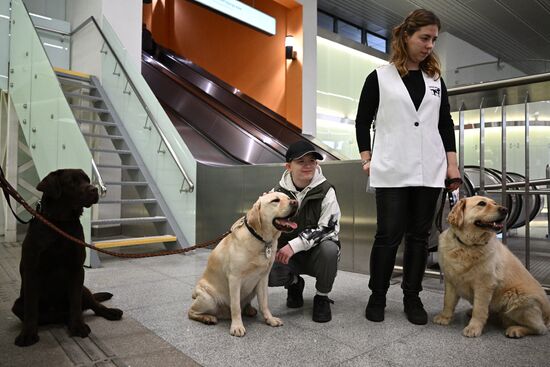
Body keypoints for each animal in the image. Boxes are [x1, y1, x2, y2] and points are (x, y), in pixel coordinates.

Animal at [11, 170, 124, 348]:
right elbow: (31, 308)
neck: (61, 223)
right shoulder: (32, 271)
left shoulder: (77, 269)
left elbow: (75, 303)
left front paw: (78, 326)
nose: (94, 189)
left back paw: (109, 312)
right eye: (71, 182)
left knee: (94, 305)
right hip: (16, 305)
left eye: (87, 180)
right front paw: (27, 334)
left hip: (84, 289)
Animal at [191, 194, 302, 338]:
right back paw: (208, 318)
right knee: (191, 312)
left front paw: (270, 319)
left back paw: (249, 310)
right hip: (208, 298)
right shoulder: (234, 278)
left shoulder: (263, 278)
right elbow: (235, 306)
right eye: (275, 200)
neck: (260, 239)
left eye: (288, 198)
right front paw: (237, 326)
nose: (295, 202)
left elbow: (264, 303)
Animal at [436, 197, 550, 338]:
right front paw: (444, 318)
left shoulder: (484, 285)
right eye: (481, 203)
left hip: (516, 299)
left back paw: (515, 330)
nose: (505, 209)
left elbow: (479, 309)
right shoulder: (451, 280)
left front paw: (474, 328)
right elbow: (448, 301)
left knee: (540, 328)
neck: (467, 246)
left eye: (495, 203)